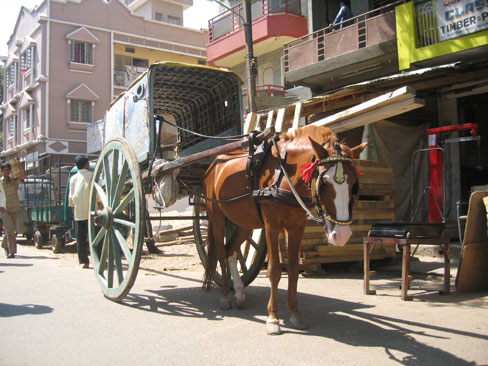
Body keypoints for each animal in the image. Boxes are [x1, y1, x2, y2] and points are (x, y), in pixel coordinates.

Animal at [202, 125, 366, 334]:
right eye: (324, 182)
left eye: (353, 183)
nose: (343, 235)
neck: (284, 174)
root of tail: (214, 164)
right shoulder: (272, 227)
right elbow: (274, 271)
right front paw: (273, 318)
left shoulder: (296, 228)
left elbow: (294, 270)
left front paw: (295, 314)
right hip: (216, 218)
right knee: (222, 254)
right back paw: (224, 296)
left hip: (243, 224)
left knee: (231, 250)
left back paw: (238, 292)